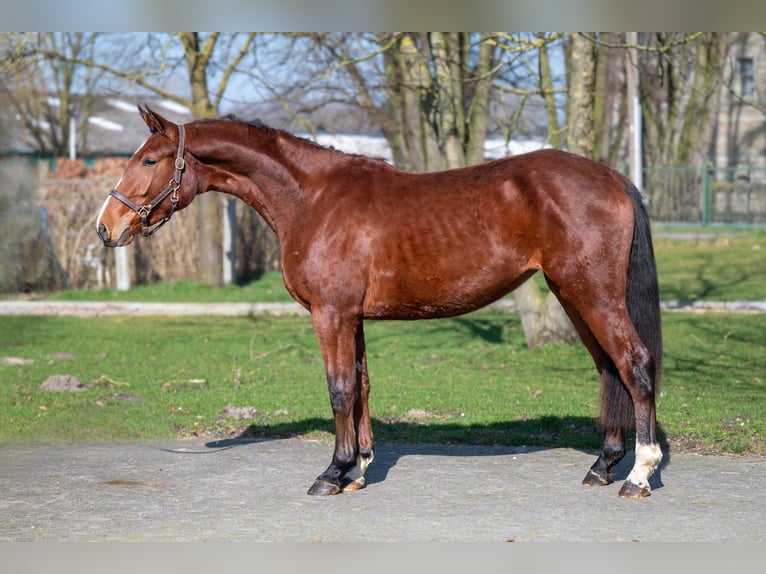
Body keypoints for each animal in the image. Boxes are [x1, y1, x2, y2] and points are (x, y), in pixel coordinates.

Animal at [96, 107, 664, 500]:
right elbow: (363, 386)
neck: (313, 198)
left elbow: (339, 390)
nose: (106, 228)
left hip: (592, 295)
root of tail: (613, 177)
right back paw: (602, 466)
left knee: (634, 364)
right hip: (574, 296)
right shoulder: (353, 316)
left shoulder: (330, 314)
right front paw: (359, 468)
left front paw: (331, 473)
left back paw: (638, 474)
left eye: (149, 159)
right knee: (609, 368)